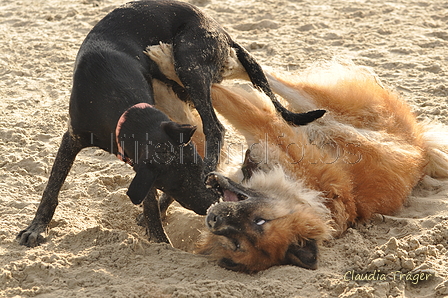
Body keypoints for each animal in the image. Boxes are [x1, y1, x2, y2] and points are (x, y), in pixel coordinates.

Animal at [16, 0, 322, 247]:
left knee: (215, 127)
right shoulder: (74, 137)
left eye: (194, 172)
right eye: (179, 183)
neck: (117, 102)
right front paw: (37, 227)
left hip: (189, 61)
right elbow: (52, 187)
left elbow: (148, 202)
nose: (215, 202)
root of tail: (223, 33)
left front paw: (160, 241)